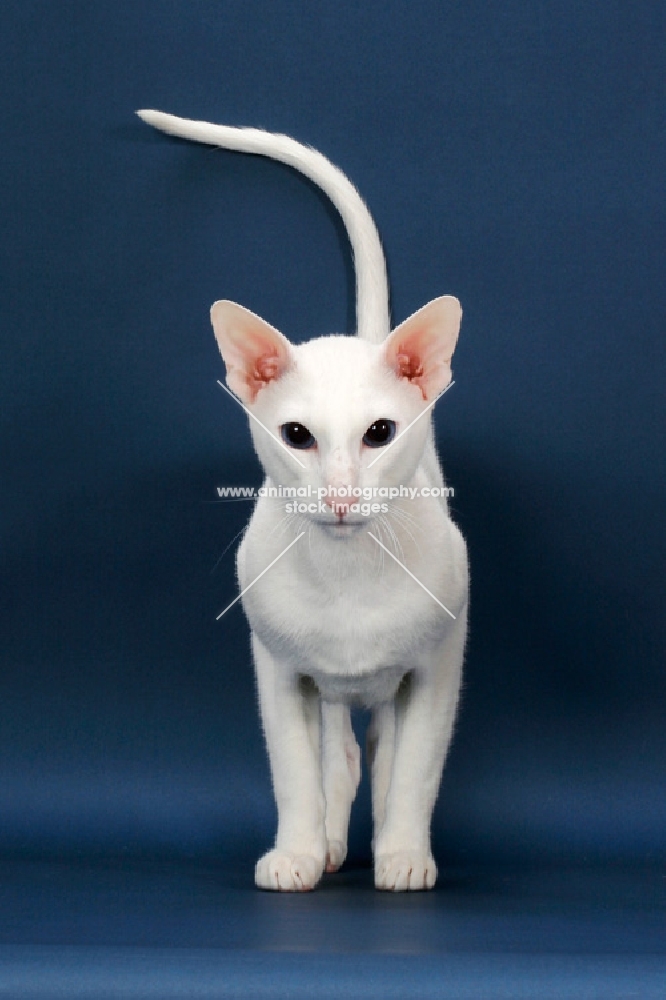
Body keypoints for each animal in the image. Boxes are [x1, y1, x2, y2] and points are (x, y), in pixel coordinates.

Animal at [137, 111, 464, 892]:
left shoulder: (440, 663)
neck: (348, 575)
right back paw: (330, 847)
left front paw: (405, 855)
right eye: (297, 436)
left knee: (380, 752)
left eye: (379, 434)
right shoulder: (278, 669)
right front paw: (297, 853)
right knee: (338, 757)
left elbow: (416, 769)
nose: (342, 495)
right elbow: (293, 770)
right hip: (323, 690)